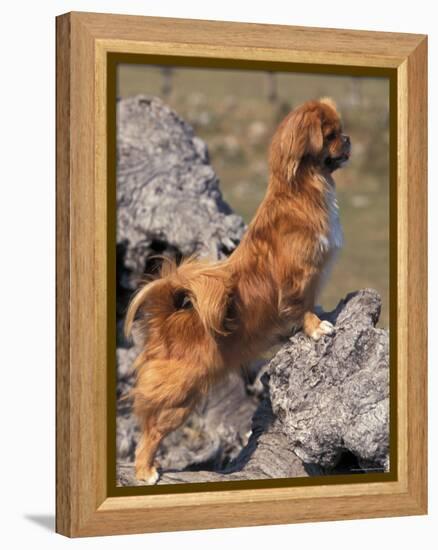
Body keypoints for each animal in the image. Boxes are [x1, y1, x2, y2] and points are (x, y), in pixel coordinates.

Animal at [125, 97, 350, 486]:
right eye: (331, 135)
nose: (348, 139)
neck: (303, 190)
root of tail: (166, 322)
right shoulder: (300, 276)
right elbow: (302, 304)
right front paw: (315, 327)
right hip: (181, 396)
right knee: (151, 430)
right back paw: (145, 471)